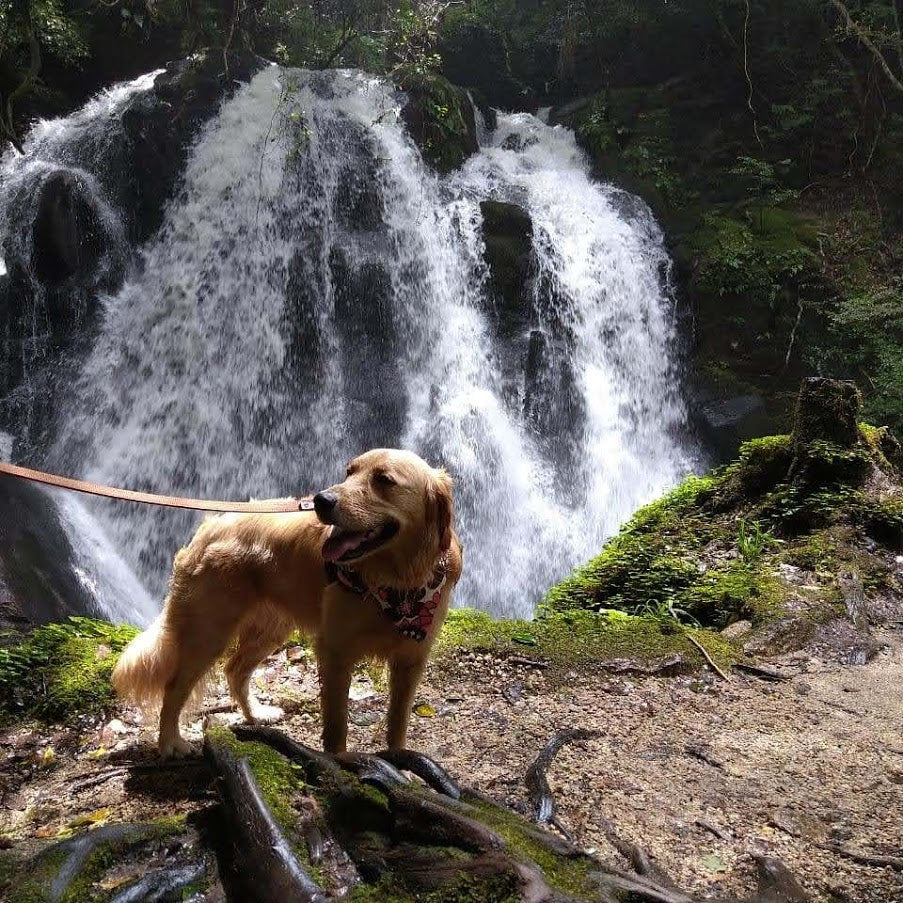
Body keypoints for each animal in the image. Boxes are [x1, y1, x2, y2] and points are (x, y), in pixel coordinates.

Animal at [112, 450, 462, 756]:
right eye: (348, 472)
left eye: (384, 479)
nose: (322, 500)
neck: (396, 584)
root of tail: (210, 527)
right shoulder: (335, 652)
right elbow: (336, 726)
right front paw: (339, 765)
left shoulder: (411, 658)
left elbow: (398, 723)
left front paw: (400, 764)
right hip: (207, 632)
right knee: (174, 688)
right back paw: (170, 742)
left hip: (270, 629)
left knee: (235, 670)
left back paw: (255, 716)